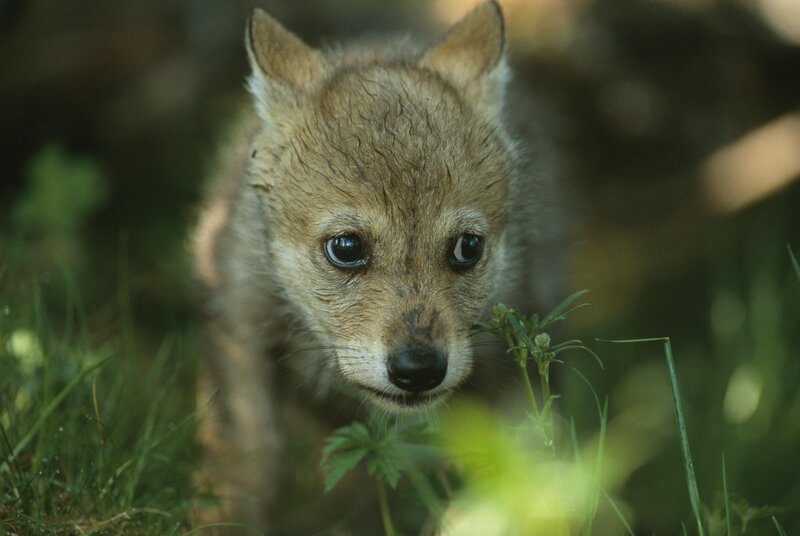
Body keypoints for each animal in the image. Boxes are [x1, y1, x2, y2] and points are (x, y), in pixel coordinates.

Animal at [193, 1, 566, 529]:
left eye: (467, 248)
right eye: (347, 247)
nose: (419, 369)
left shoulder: (510, 371)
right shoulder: (237, 324)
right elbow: (251, 457)